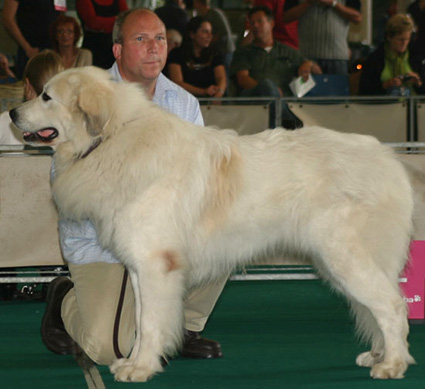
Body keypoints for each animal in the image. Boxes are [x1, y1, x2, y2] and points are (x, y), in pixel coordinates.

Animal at [9, 67, 414, 382]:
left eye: (46, 96)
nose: (12, 111)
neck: (113, 139)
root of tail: (388, 159)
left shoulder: (156, 265)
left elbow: (151, 322)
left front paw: (141, 368)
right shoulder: (140, 269)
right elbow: (140, 320)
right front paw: (136, 361)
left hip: (344, 257)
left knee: (392, 306)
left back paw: (392, 364)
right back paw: (380, 354)